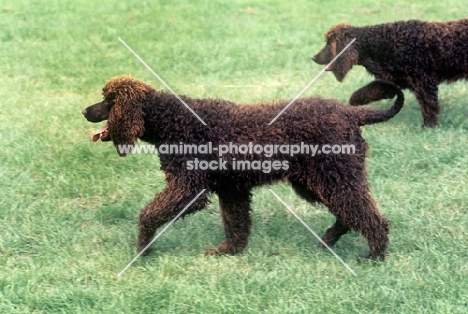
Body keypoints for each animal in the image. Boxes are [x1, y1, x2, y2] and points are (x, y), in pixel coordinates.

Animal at [82, 75, 404, 260]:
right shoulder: (231, 189)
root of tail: (352, 113)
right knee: (350, 213)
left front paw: (143, 248)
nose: (84, 111)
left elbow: (148, 215)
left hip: (336, 176)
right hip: (320, 182)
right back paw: (329, 240)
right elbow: (236, 224)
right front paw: (229, 252)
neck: (170, 119)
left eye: (108, 101)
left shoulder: (188, 188)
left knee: (366, 215)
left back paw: (375, 254)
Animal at [312, 19, 468, 127]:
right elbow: (362, 93)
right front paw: (355, 107)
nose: (313, 57)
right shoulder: (390, 83)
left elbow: (429, 106)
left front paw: (429, 127)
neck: (382, 43)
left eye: (328, 44)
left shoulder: (424, 83)